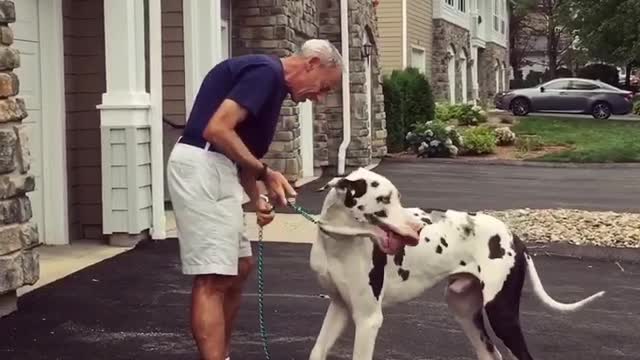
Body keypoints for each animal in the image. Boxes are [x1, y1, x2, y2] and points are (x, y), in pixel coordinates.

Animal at [308, 168, 604, 360]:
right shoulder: (339, 307)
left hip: (501, 314)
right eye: (383, 200)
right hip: (464, 309)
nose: (418, 229)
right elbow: (317, 351)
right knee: (491, 354)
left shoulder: (368, 319)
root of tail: (514, 236)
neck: (338, 243)